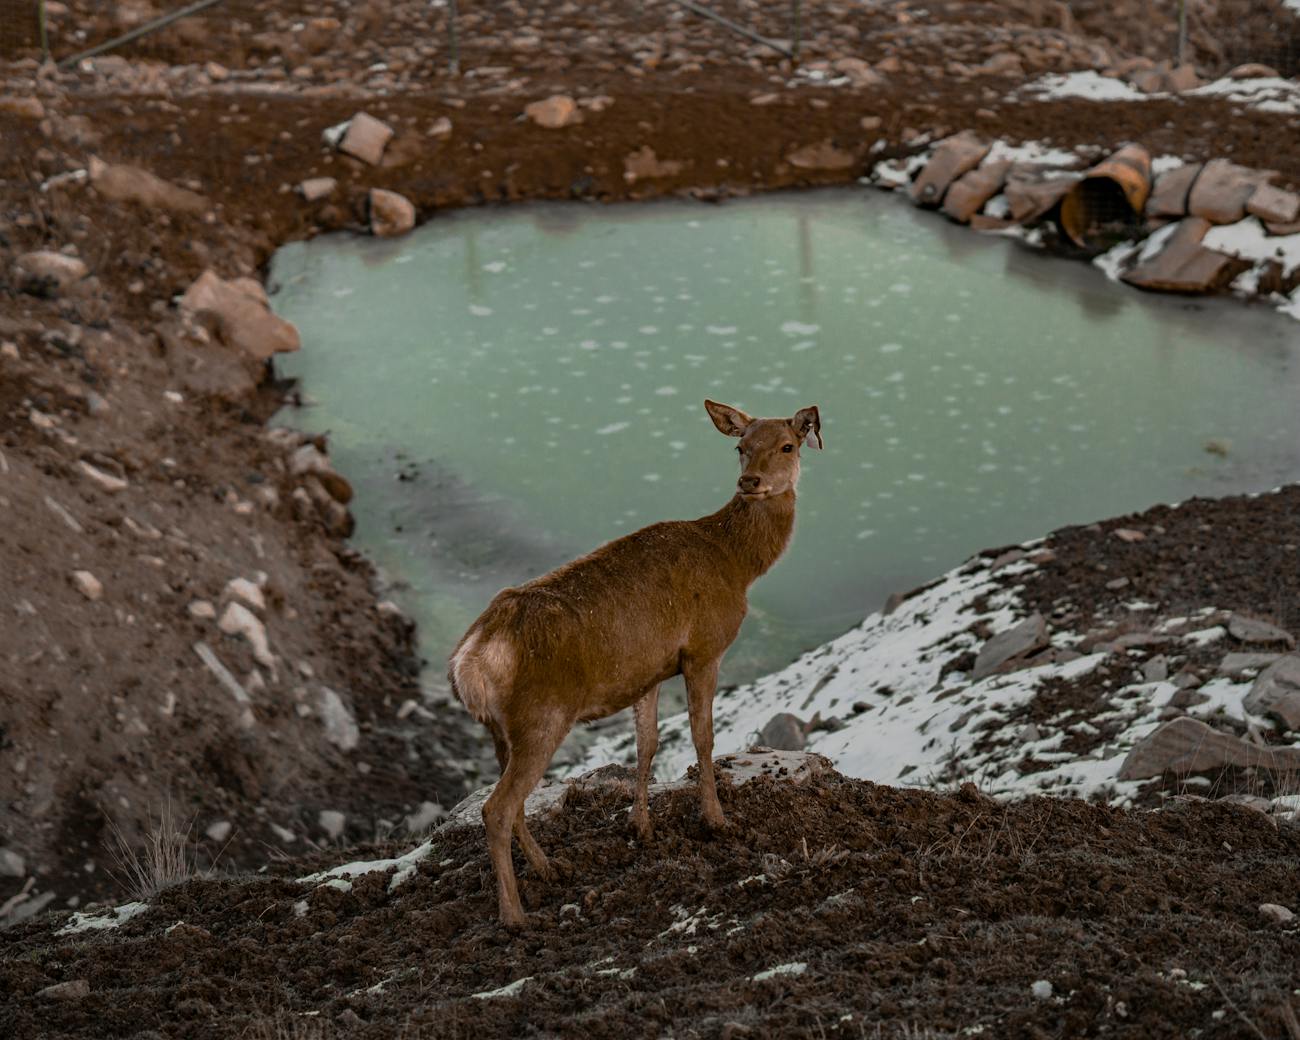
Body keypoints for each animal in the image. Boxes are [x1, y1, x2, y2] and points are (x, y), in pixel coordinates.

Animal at [447, 397, 821, 925]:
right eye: (740, 446)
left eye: (787, 445)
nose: (750, 482)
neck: (737, 564)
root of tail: (468, 663)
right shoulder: (705, 648)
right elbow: (703, 738)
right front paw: (716, 820)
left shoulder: (650, 672)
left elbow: (647, 745)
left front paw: (641, 827)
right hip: (542, 714)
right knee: (496, 808)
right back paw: (515, 915)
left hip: (499, 728)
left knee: (510, 802)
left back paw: (550, 868)